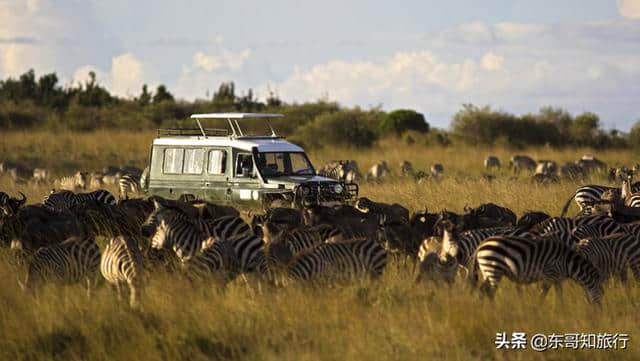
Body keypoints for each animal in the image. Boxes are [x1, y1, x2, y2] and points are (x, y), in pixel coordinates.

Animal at [470, 235, 604, 302]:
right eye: (602, 297)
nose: (599, 315)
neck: (567, 263)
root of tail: (481, 244)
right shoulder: (550, 274)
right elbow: (542, 294)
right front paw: (537, 310)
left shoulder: (558, 279)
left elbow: (559, 296)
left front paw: (561, 311)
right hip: (494, 269)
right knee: (490, 292)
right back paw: (493, 310)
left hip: (487, 271)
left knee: (482, 291)